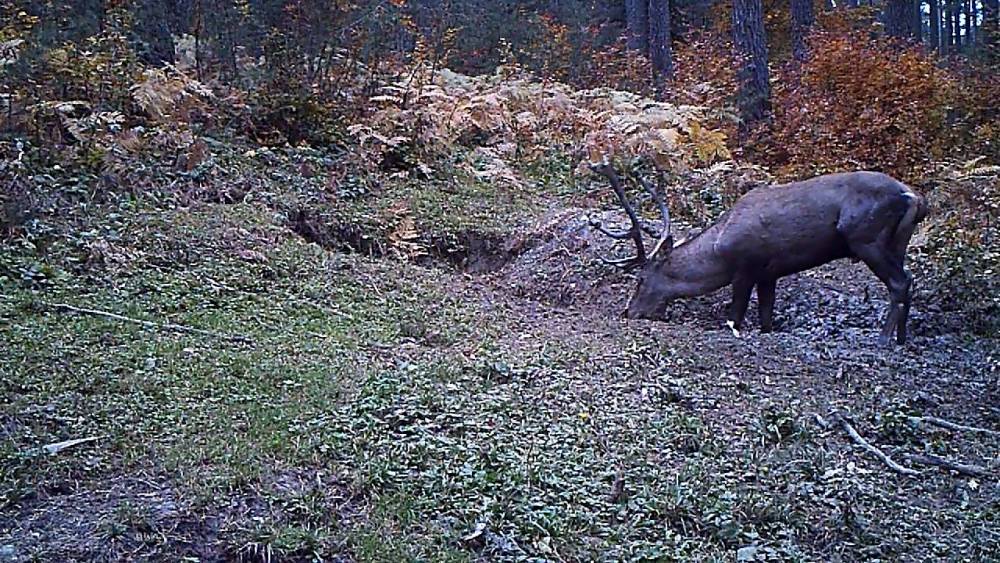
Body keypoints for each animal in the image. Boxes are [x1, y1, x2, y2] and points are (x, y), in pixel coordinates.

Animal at [584, 163, 928, 346]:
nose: (629, 311)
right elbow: (766, 320)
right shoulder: (769, 274)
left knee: (898, 282)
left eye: (641, 279)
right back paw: (902, 338)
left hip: (866, 237)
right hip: (898, 242)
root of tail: (914, 197)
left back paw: (884, 339)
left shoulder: (746, 267)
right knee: (908, 279)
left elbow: (734, 316)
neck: (718, 251)